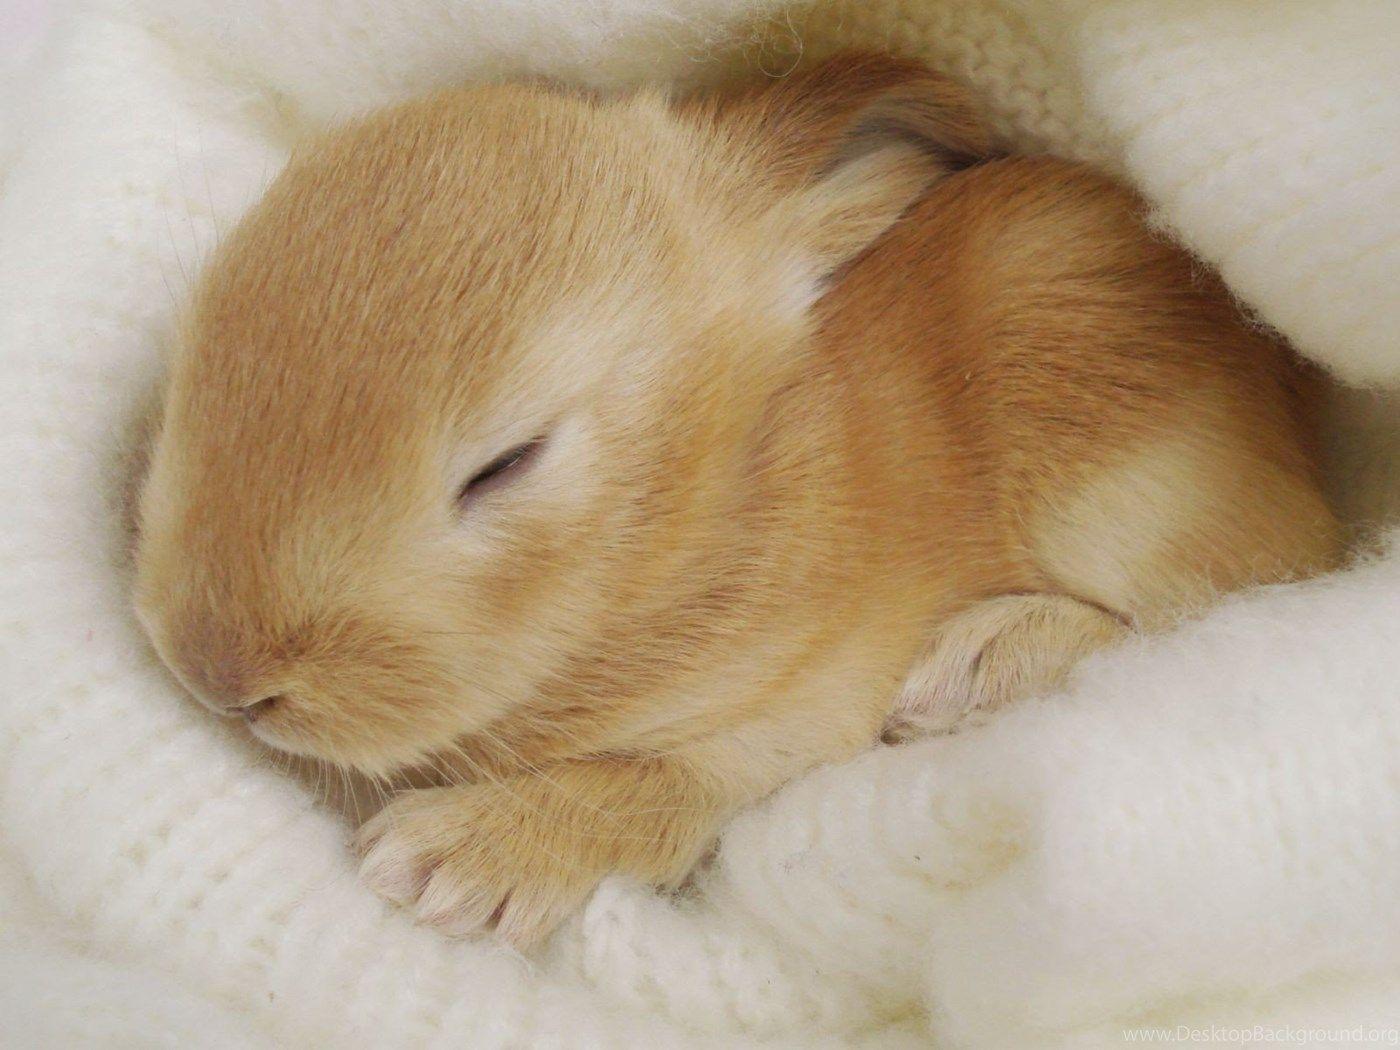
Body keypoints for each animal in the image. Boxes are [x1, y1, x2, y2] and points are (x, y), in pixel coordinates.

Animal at [132, 54, 1342, 948]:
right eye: (203, 339)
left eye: (505, 464)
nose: (217, 671)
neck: (696, 507)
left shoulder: (787, 715)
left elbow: (649, 789)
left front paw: (443, 861)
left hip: (1116, 470)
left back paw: (972, 666)